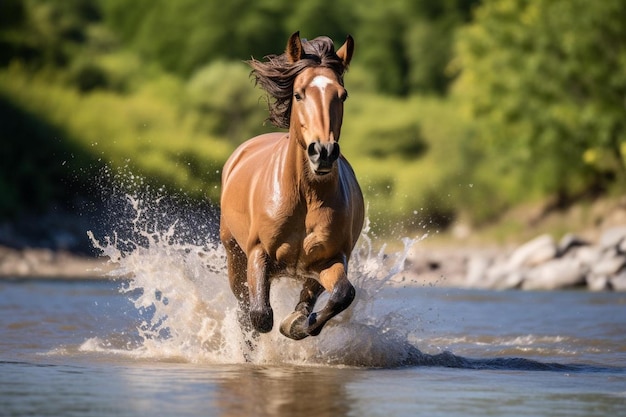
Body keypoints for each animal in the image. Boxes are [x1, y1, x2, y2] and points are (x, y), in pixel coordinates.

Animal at [221, 31, 364, 338]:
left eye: (343, 95)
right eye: (299, 94)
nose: (323, 152)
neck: (305, 196)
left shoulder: (331, 259)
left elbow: (342, 293)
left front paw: (296, 324)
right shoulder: (257, 252)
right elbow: (260, 315)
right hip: (233, 252)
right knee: (245, 309)